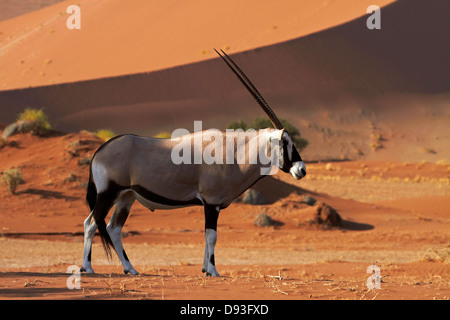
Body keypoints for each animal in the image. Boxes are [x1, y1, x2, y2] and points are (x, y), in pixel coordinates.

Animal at [80, 48, 306, 276]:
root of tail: (100, 151)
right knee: (90, 223)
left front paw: (205, 269)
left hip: (126, 197)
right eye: (285, 141)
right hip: (107, 194)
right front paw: (213, 270)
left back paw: (130, 268)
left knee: (113, 228)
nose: (302, 169)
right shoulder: (212, 203)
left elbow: (207, 237)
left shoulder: (210, 205)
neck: (234, 152)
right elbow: (212, 236)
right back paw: (87, 267)